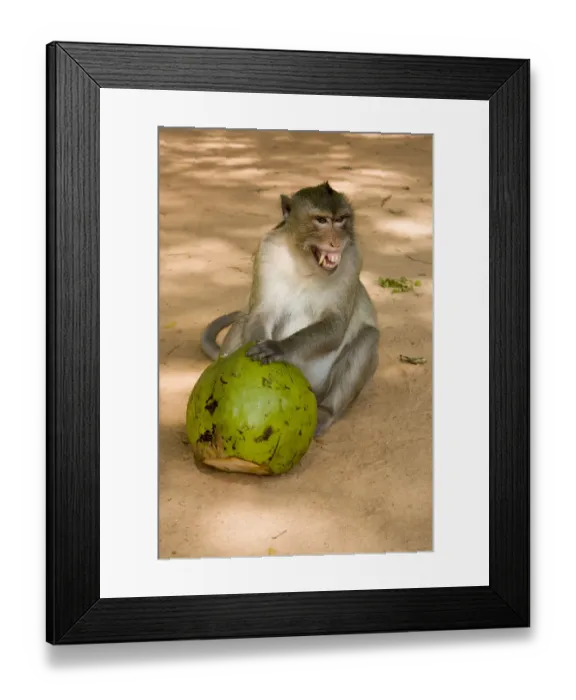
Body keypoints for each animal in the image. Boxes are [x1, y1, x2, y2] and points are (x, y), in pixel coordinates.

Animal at [200, 181, 380, 437]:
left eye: (342, 219)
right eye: (322, 220)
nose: (337, 241)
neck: (306, 264)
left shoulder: (353, 259)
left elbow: (335, 326)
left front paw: (278, 348)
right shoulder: (267, 252)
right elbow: (260, 314)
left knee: (368, 337)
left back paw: (325, 412)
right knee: (244, 318)